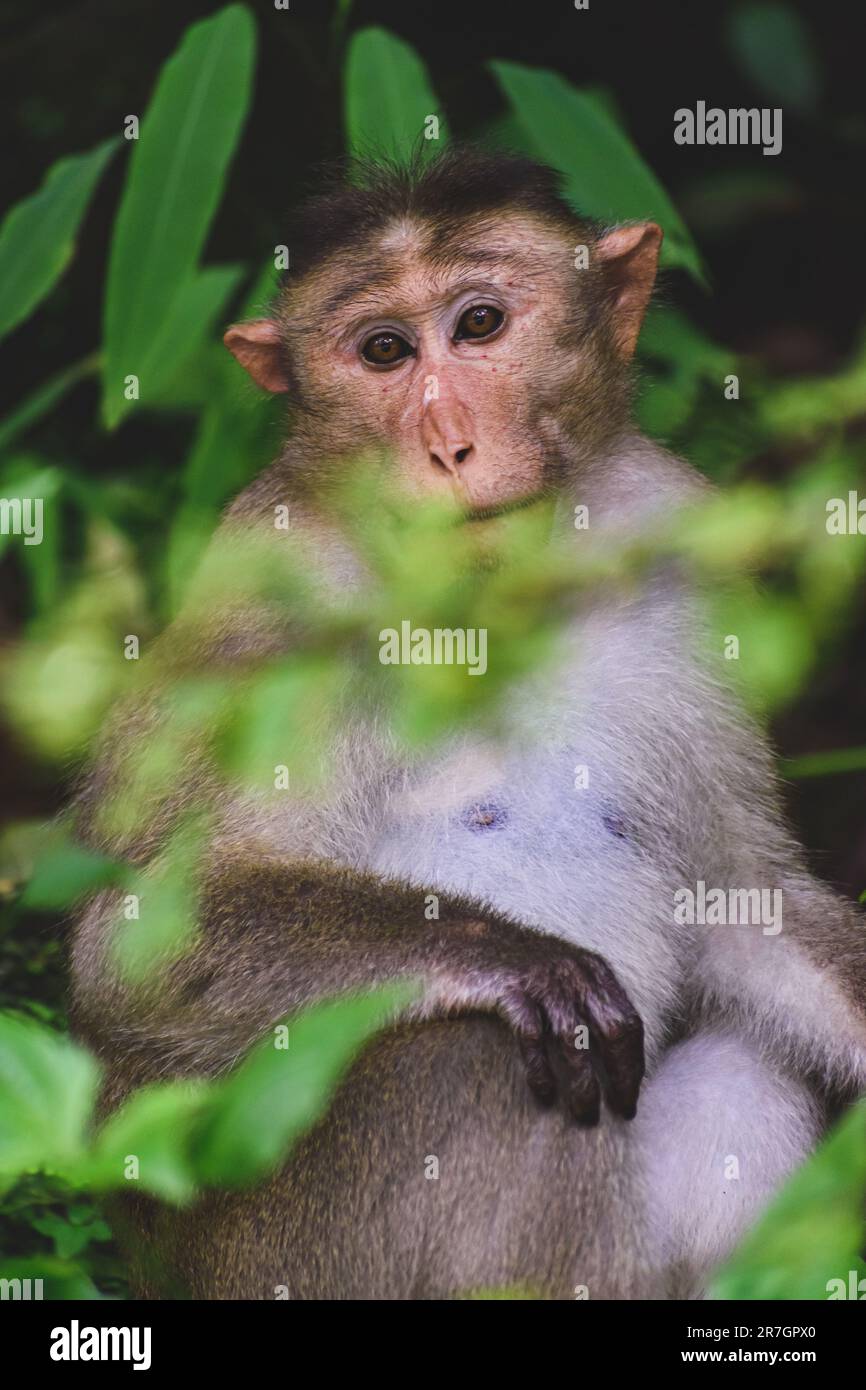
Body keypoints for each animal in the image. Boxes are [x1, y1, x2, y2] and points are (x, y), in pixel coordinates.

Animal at [69, 152, 866, 1301]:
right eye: (384, 351)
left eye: (480, 323)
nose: (448, 444)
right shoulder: (270, 598)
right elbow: (134, 943)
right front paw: (521, 962)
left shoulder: (670, 523)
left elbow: (737, 885)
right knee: (480, 1051)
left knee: (737, 1060)